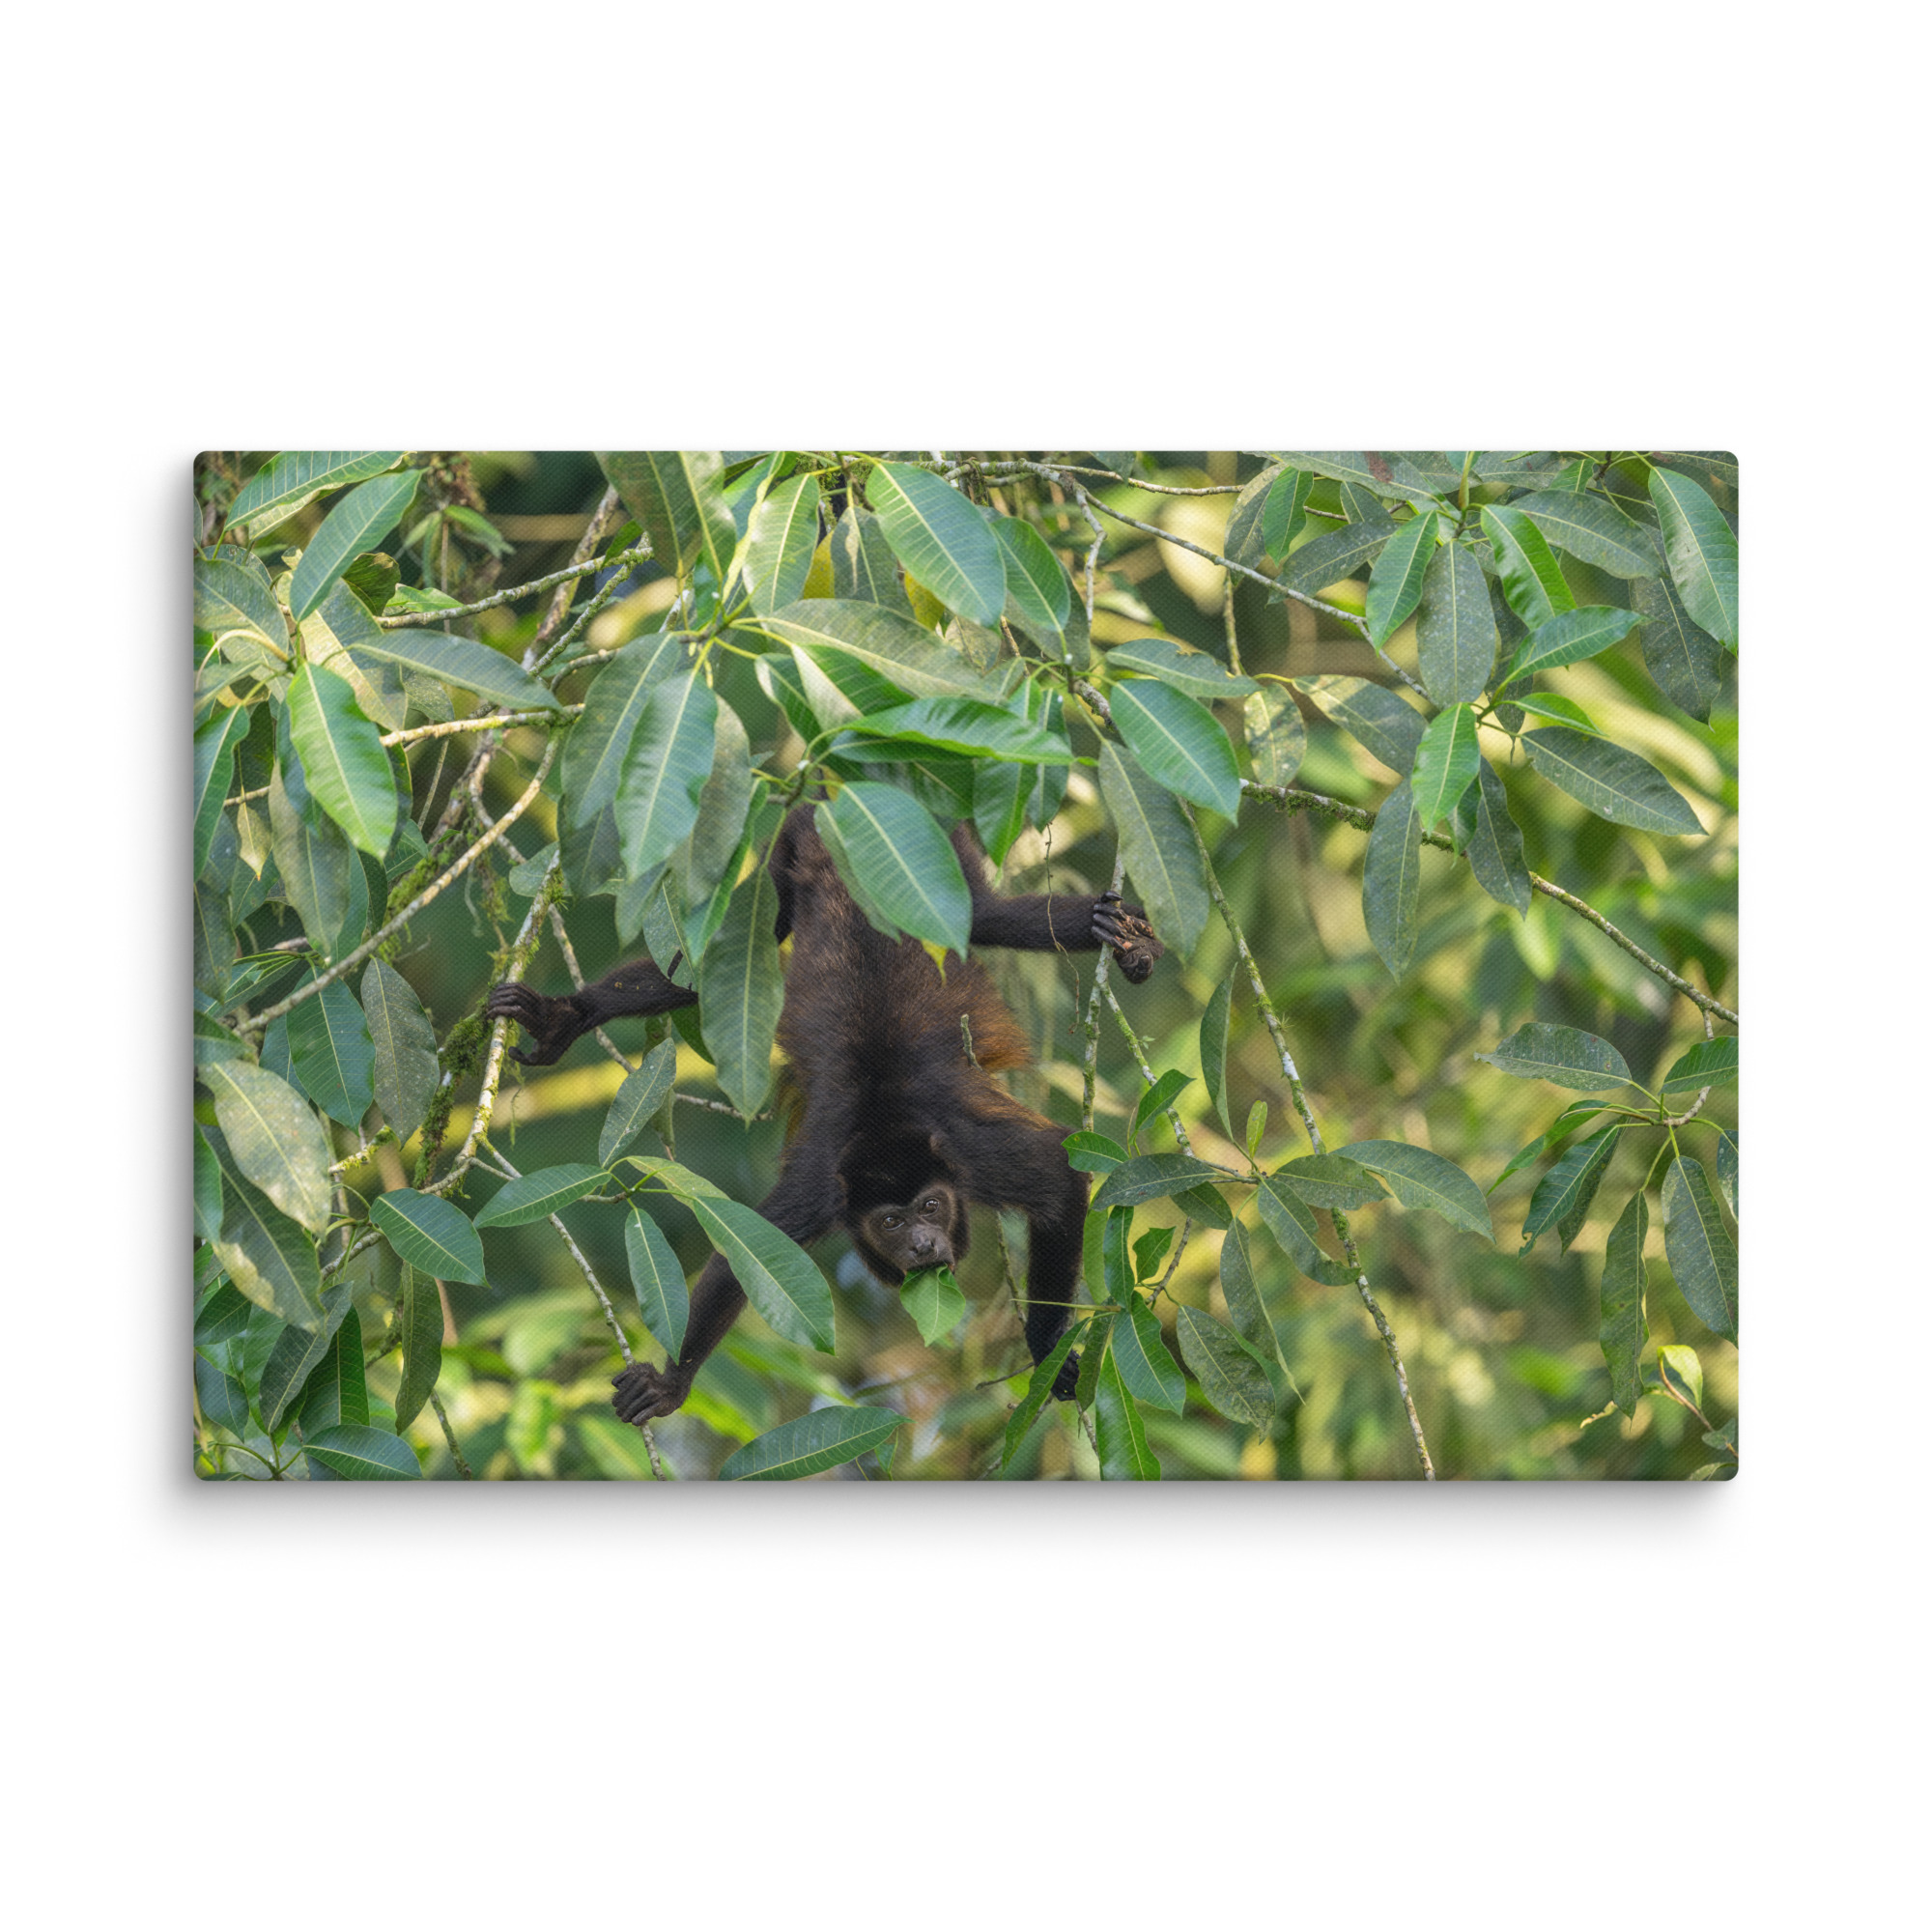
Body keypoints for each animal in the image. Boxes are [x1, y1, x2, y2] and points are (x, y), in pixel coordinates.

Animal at [486, 804, 1163, 1426]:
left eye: (930, 1206)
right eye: (890, 1222)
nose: (922, 1244)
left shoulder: (972, 1154)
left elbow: (1057, 1174)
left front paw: (1047, 1348)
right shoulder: (821, 1188)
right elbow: (746, 1254)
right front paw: (672, 1384)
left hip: (938, 854)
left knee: (989, 916)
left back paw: (1123, 939)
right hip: (788, 858)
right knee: (728, 954)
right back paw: (568, 1015)